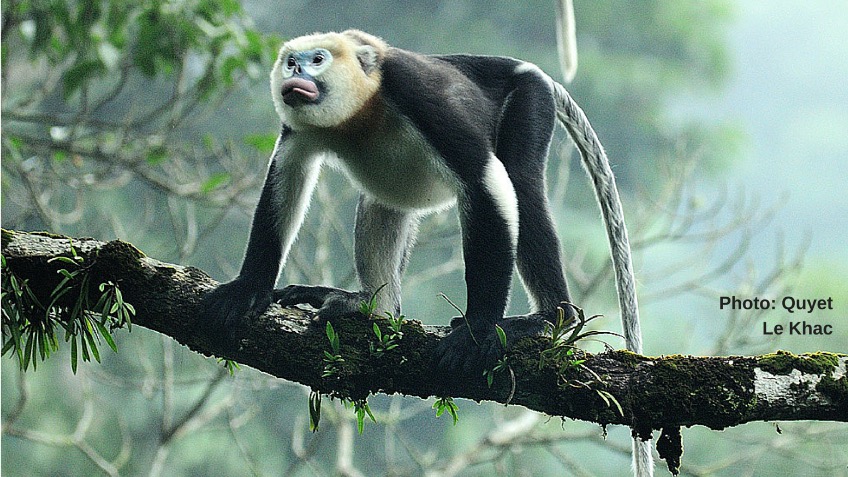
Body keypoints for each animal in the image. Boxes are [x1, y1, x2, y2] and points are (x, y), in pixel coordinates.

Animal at [201, 29, 642, 377]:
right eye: (291, 61)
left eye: (317, 60)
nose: (295, 74)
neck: (361, 111)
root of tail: (525, 68)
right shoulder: (299, 127)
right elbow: (287, 174)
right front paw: (249, 287)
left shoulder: (414, 90)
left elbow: (485, 180)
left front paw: (479, 329)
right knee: (383, 201)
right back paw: (372, 308)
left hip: (530, 97)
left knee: (521, 181)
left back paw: (553, 317)